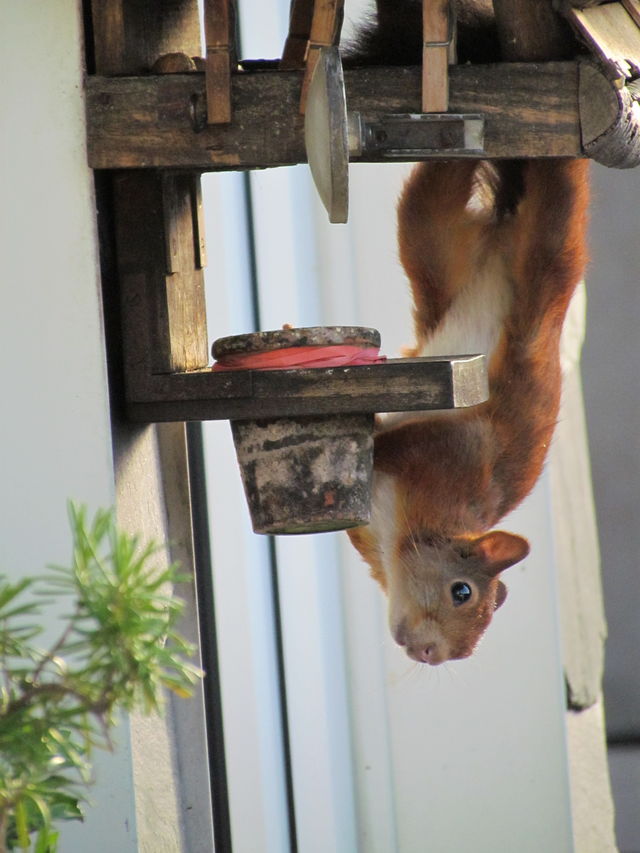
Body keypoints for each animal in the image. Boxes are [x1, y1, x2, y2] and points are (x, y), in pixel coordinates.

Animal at [344, 0, 592, 664]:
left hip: (432, 243)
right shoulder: (442, 453)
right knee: (541, 193)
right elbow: (388, 441)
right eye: (462, 592)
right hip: (544, 241)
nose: (431, 655)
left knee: (440, 186)